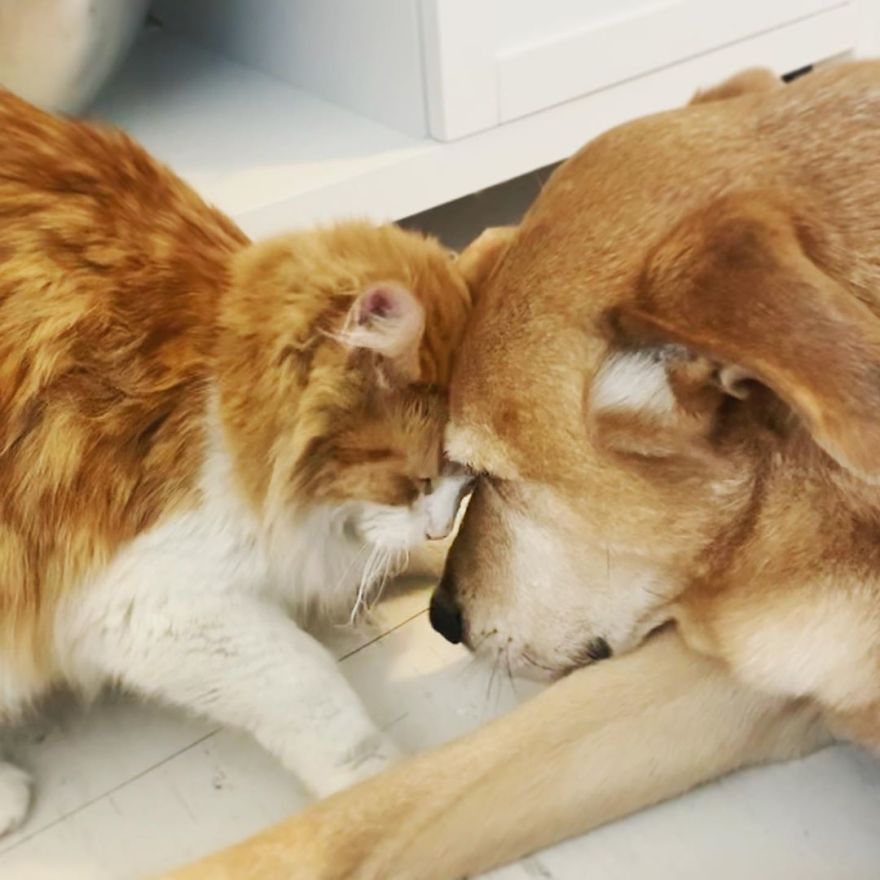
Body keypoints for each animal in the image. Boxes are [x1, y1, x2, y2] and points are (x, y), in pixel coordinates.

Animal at [0, 89, 482, 832]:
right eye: (418, 475)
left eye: (464, 484)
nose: (437, 521)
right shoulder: (152, 604)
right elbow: (310, 690)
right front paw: (380, 789)